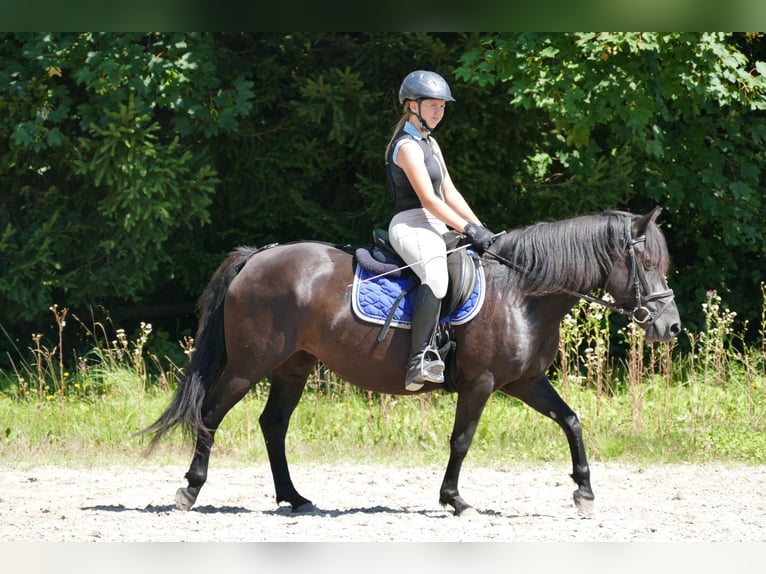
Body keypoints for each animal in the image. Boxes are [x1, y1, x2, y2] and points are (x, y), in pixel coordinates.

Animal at [144, 209, 684, 520]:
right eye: (647, 265)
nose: (671, 327)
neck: (522, 294)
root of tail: (258, 256)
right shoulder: (483, 382)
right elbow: (462, 439)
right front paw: (454, 499)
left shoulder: (526, 381)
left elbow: (571, 420)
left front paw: (584, 492)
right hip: (249, 364)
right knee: (210, 414)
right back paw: (190, 491)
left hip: (293, 366)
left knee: (273, 424)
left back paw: (294, 498)